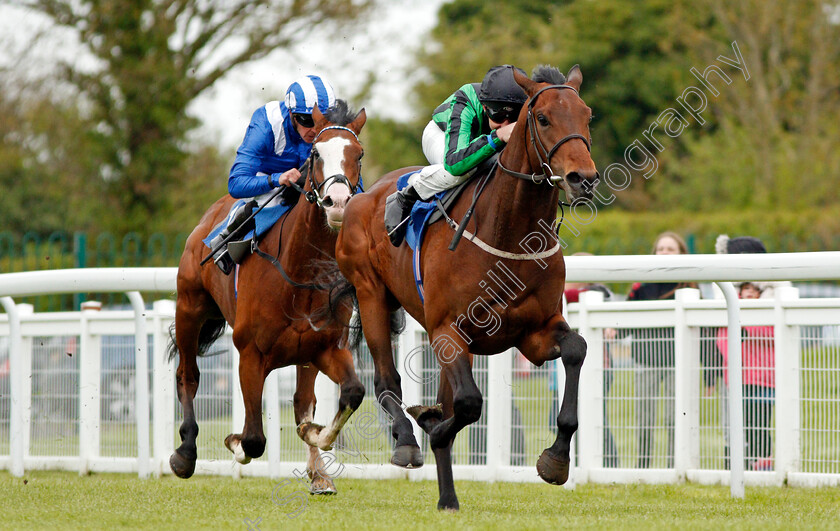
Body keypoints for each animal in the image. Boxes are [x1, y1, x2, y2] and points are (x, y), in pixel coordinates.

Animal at [169, 101, 366, 494]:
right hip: (190, 307)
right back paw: (184, 454)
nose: (337, 203)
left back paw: (318, 472)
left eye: (359, 154)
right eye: (316, 154)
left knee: (304, 399)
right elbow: (254, 438)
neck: (300, 273)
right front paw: (234, 443)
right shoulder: (250, 354)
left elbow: (348, 393)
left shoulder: (325, 347)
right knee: (188, 375)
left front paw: (316, 437)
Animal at [334, 66, 596, 512]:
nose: (584, 179)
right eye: (543, 118)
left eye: (587, 115)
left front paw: (556, 459)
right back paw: (407, 440)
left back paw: (448, 498)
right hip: (371, 295)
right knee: (387, 381)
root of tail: (362, 196)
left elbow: (576, 349)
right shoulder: (448, 329)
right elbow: (469, 404)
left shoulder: (534, 332)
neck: (510, 233)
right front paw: (430, 426)